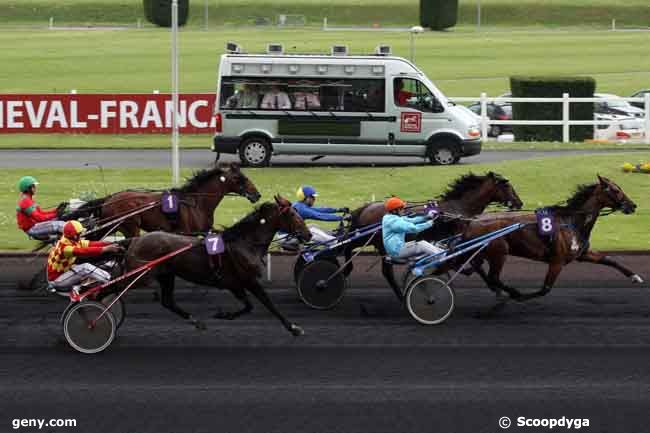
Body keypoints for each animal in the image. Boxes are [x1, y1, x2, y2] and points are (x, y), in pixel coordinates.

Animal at [66, 162, 258, 238]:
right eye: (241, 178)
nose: (257, 194)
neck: (196, 202)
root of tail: (110, 199)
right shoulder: (186, 232)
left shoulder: (203, 230)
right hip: (129, 227)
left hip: (110, 226)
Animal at [123, 196, 312, 334]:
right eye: (293, 214)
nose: (308, 234)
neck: (244, 243)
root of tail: (136, 240)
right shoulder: (249, 280)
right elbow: (268, 303)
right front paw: (294, 328)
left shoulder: (234, 284)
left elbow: (249, 306)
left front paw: (224, 315)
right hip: (141, 275)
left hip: (166, 275)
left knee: (168, 302)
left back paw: (197, 321)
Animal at [344, 170, 520, 296]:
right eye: (507, 186)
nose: (519, 203)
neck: (457, 209)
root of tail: (367, 207)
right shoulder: (458, 241)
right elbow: (472, 263)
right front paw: (497, 287)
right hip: (369, 238)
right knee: (348, 246)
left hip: (377, 243)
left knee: (383, 270)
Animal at [464, 174, 640, 302]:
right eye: (615, 190)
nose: (632, 205)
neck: (572, 221)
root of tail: (473, 221)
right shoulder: (557, 261)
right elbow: (544, 289)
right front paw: (520, 296)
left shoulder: (582, 254)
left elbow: (610, 260)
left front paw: (635, 276)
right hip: (499, 252)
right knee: (493, 276)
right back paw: (510, 292)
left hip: (485, 252)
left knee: (478, 267)